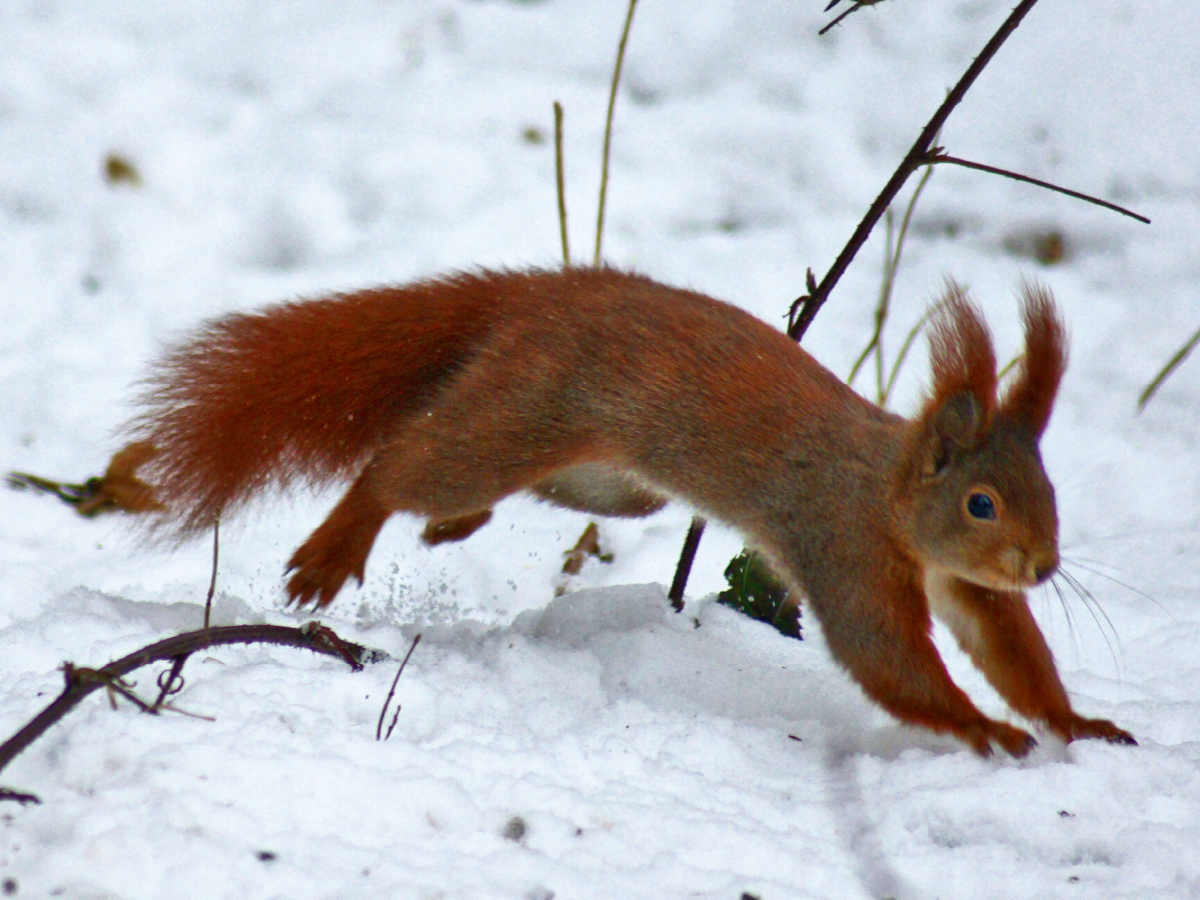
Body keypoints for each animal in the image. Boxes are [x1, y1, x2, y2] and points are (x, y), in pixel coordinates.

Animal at [126, 266, 1128, 753]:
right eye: (981, 502)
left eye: (1048, 489)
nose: (1043, 565)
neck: (886, 491)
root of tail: (545, 293)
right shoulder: (842, 544)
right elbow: (888, 658)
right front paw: (981, 728)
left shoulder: (962, 585)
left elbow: (1008, 647)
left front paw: (1076, 723)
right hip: (527, 414)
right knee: (403, 466)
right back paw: (338, 550)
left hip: (609, 480)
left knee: (487, 483)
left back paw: (452, 528)